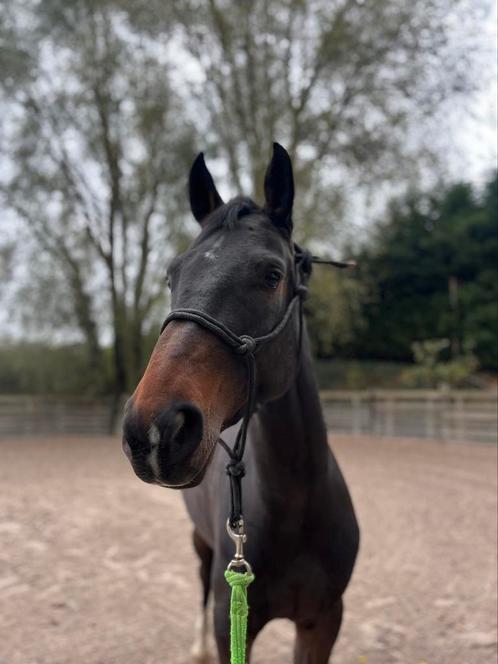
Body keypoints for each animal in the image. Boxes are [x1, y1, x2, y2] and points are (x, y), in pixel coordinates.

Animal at [122, 143, 360, 660]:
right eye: (172, 276)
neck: (296, 504)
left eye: (272, 274)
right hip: (201, 544)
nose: (154, 429)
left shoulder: (323, 621)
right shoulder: (232, 620)